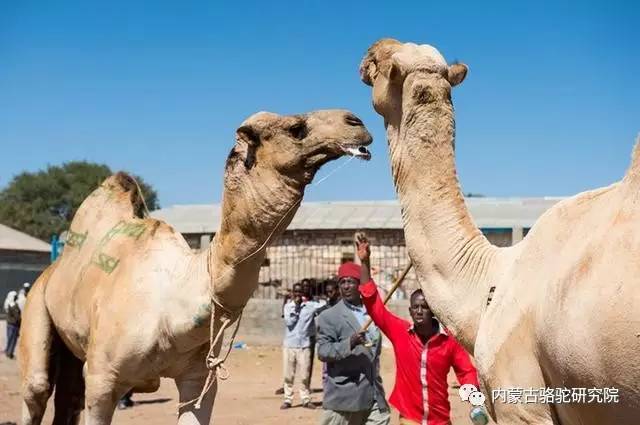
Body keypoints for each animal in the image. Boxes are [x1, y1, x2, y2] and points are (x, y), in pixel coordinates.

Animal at [20, 107, 372, 422]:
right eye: (296, 128)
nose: (357, 122)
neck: (173, 299)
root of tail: (50, 272)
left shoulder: (199, 380)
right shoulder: (102, 379)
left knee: (68, 401)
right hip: (36, 307)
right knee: (37, 390)